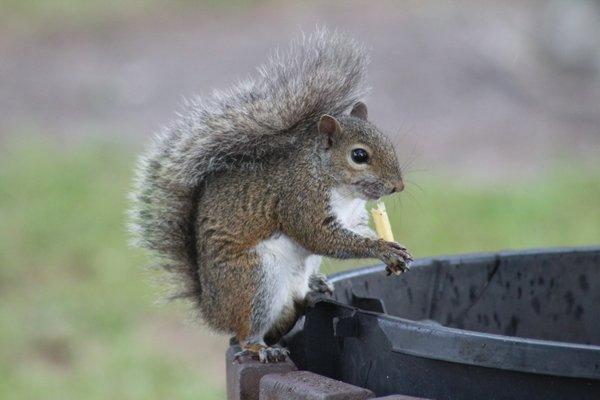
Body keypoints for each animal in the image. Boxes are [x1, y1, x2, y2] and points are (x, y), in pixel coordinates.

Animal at [129, 29, 412, 362]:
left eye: (388, 143)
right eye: (359, 155)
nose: (397, 186)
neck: (335, 184)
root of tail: (214, 311)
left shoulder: (351, 217)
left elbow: (356, 232)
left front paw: (390, 248)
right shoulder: (300, 200)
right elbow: (321, 237)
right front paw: (383, 249)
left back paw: (315, 289)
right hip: (255, 281)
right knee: (245, 333)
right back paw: (261, 348)